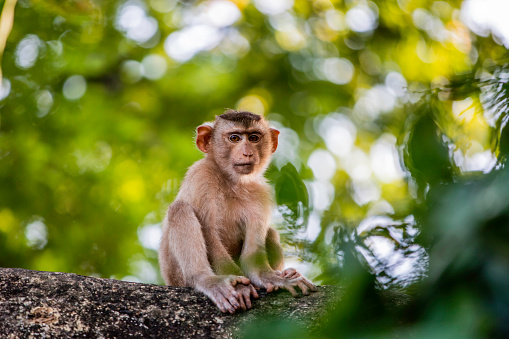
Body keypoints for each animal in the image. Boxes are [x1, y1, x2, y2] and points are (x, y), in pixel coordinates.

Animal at [161, 109, 316, 314]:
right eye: (234, 138)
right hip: (176, 275)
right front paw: (240, 287)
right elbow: (209, 234)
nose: (247, 153)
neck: (232, 182)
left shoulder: (261, 192)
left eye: (254, 137)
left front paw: (272, 278)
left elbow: (253, 254)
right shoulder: (202, 176)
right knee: (180, 210)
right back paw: (207, 280)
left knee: (270, 232)